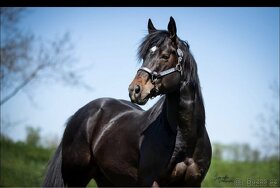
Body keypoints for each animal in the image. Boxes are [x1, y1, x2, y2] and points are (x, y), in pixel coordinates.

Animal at [42, 16, 211, 187]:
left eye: (164, 55)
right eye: (144, 57)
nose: (135, 90)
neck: (184, 137)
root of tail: (80, 113)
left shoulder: (194, 183)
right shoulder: (152, 182)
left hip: (106, 179)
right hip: (75, 178)